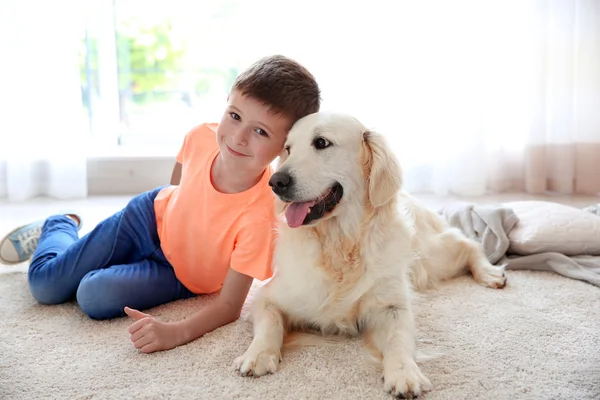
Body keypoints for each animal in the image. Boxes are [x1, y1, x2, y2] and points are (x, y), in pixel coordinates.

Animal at [232, 111, 504, 398]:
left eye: (321, 142)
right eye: (287, 149)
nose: (276, 182)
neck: (340, 243)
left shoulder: (392, 305)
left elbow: (398, 338)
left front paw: (404, 373)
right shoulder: (268, 297)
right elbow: (271, 322)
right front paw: (258, 355)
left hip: (431, 258)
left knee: (466, 243)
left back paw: (489, 272)